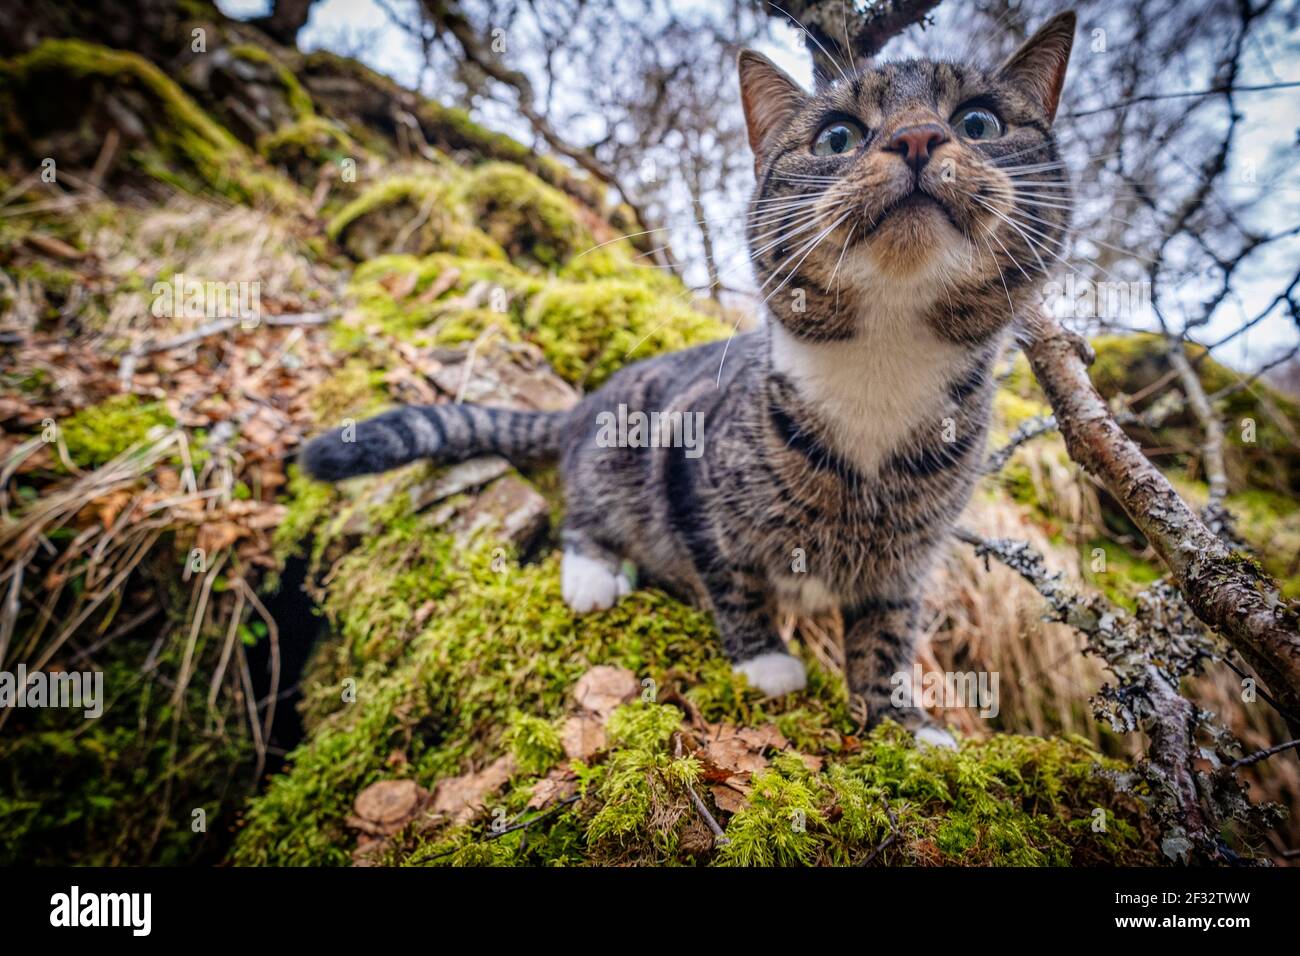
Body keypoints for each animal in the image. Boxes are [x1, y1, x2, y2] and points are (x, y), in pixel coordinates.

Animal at [304, 13, 1076, 749]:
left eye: (979, 123)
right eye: (837, 136)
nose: (918, 137)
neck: (883, 367)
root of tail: (585, 403)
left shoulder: (907, 563)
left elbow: (886, 637)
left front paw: (904, 726)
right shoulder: (688, 462)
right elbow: (730, 577)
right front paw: (765, 660)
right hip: (618, 444)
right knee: (584, 511)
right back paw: (595, 574)